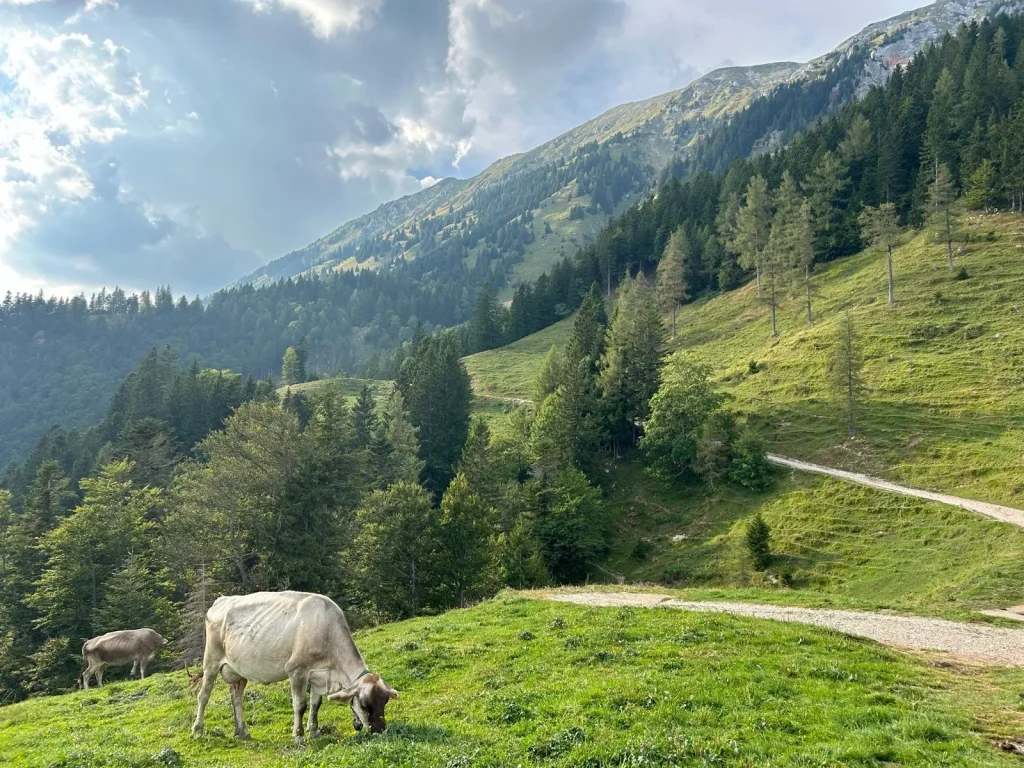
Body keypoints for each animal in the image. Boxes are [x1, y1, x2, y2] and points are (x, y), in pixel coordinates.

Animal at [190, 589, 397, 745]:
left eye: (384, 702)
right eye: (365, 705)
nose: (380, 730)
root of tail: (222, 600)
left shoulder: (318, 674)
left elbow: (316, 703)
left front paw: (314, 730)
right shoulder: (297, 670)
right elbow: (300, 705)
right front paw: (298, 736)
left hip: (238, 670)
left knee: (236, 698)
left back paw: (242, 731)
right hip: (211, 661)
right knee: (204, 695)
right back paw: (197, 728)